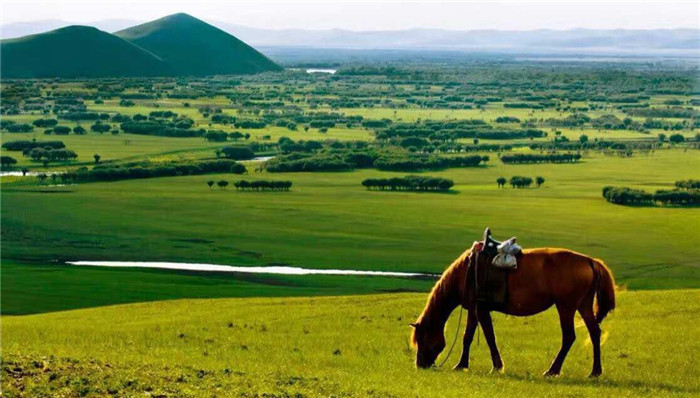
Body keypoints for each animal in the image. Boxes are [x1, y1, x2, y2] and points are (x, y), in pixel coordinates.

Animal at [408, 229, 616, 378]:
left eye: (423, 338)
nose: (420, 365)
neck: (466, 271)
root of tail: (589, 261)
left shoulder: (481, 309)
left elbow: (487, 337)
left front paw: (495, 367)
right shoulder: (474, 309)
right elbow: (469, 336)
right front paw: (462, 365)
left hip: (566, 307)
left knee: (569, 337)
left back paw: (553, 370)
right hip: (583, 305)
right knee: (594, 333)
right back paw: (595, 372)